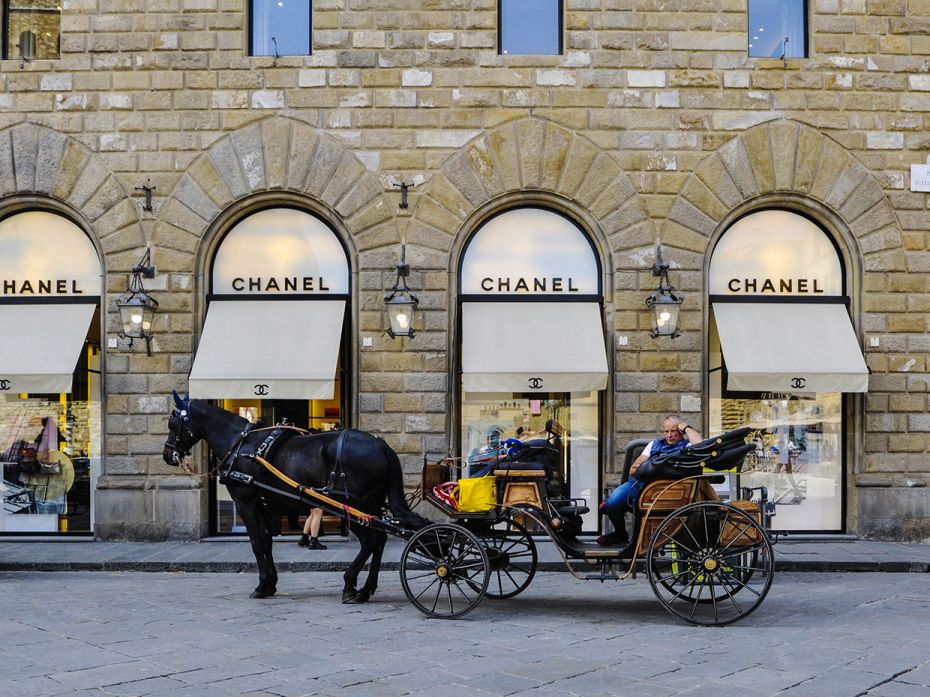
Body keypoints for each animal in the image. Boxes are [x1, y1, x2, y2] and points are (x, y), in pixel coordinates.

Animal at [164, 394, 428, 600]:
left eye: (172, 422)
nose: (167, 454)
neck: (240, 444)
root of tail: (381, 445)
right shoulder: (265, 505)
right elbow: (267, 542)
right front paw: (270, 584)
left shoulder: (246, 503)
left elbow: (257, 543)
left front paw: (261, 586)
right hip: (369, 505)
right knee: (379, 540)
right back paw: (365, 589)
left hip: (350, 504)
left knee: (372, 540)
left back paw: (350, 585)